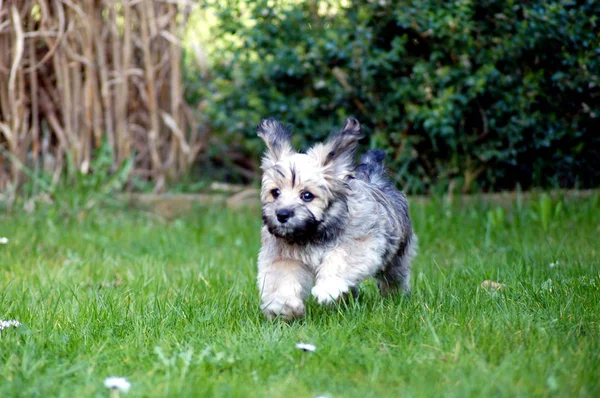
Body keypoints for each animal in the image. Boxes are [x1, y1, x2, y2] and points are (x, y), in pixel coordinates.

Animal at [255, 116, 414, 318]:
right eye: (275, 192)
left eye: (307, 195)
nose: (282, 214)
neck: (310, 234)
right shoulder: (283, 256)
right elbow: (282, 278)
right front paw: (283, 305)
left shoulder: (359, 242)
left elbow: (339, 259)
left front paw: (327, 288)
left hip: (397, 256)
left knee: (393, 278)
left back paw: (396, 298)